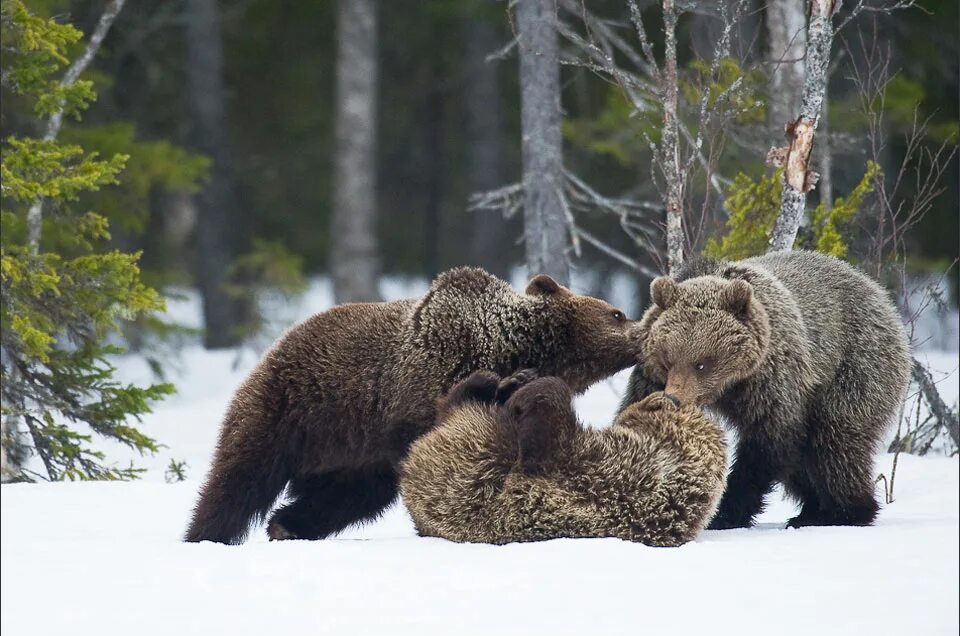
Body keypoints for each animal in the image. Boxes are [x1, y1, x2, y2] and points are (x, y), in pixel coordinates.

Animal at [184, 266, 640, 544]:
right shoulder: (423, 378)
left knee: (351, 496)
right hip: (292, 406)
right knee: (240, 476)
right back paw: (208, 532)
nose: (639, 328)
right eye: (616, 313)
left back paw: (287, 524)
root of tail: (273, 348)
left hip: (354, 453)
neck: (510, 345)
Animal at [400, 368, 728, 548]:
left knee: (455, 408)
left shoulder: (603, 479)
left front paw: (525, 395)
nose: (669, 396)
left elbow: (544, 441)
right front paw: (518, 385)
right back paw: (499, 380)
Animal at [620, 251, 912, 528]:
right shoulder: (649, 375)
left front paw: (724, 514)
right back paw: (812, 509)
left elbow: (769, 442)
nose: (674, 398)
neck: (730, 385)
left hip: (854, 366)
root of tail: (877, 291)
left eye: (701, 363)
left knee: (836, 442)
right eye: (667, 360)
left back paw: (844, 511)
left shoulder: (772, 380)